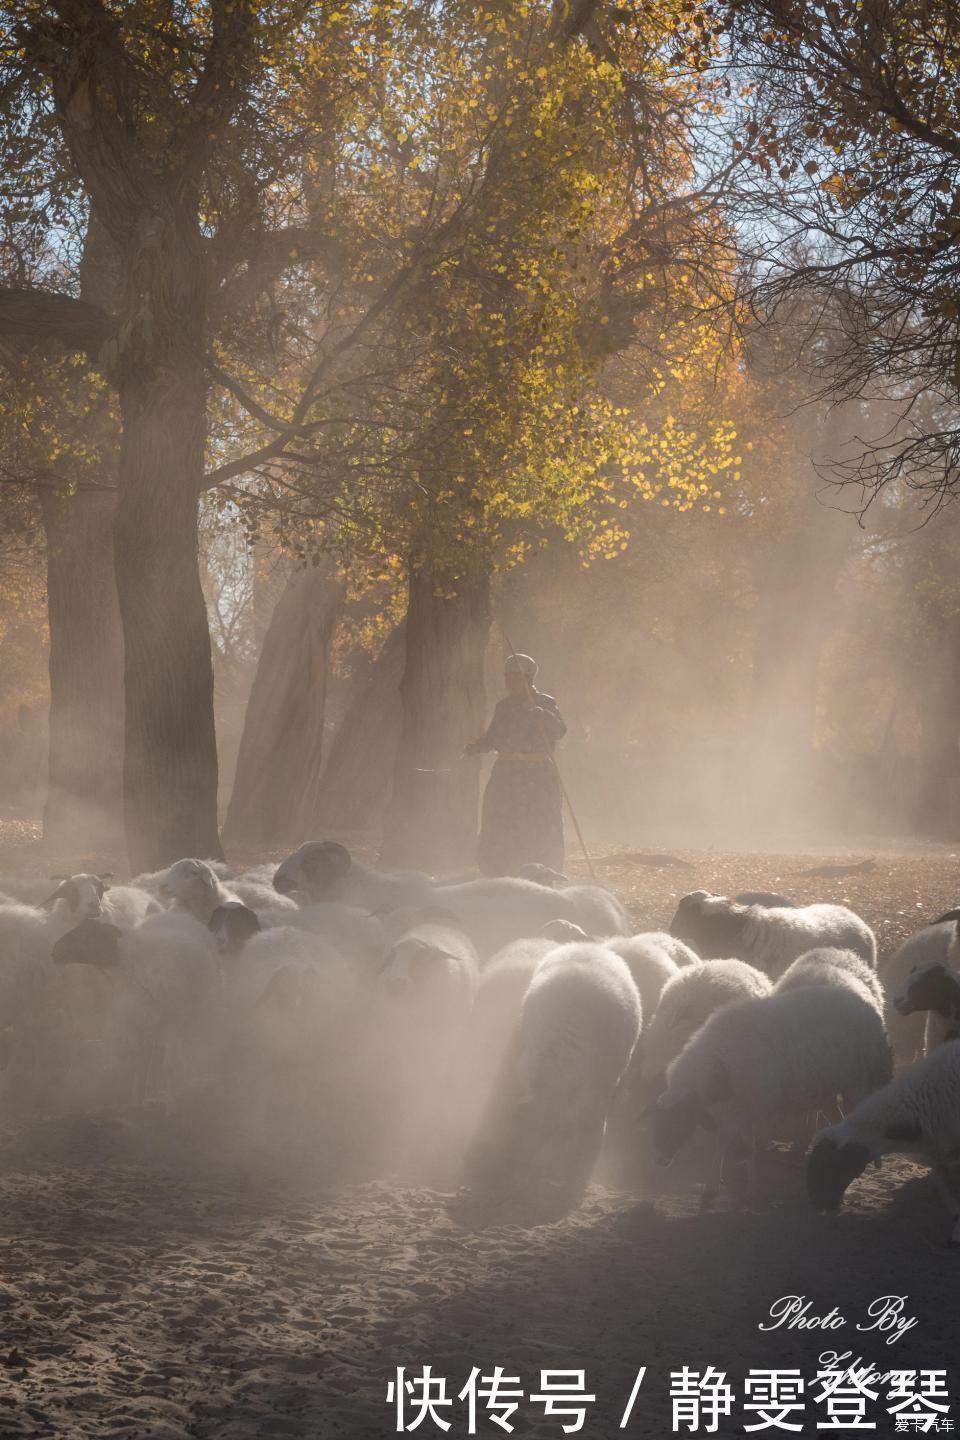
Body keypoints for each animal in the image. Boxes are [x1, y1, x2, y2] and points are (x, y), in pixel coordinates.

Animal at [653, 979, 892, 1203]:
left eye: (677, 1120)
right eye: (659, 1122)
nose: (660, 1160)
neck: (718, 1064)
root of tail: (870, 1010)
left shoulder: (754, 1105)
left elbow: (749, 1147)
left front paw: (751, 1186)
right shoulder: (732, 1109)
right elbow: (722, 1142)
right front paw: (711, 1187)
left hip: (856, 1081)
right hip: (827, 1090)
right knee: (838, 1121)